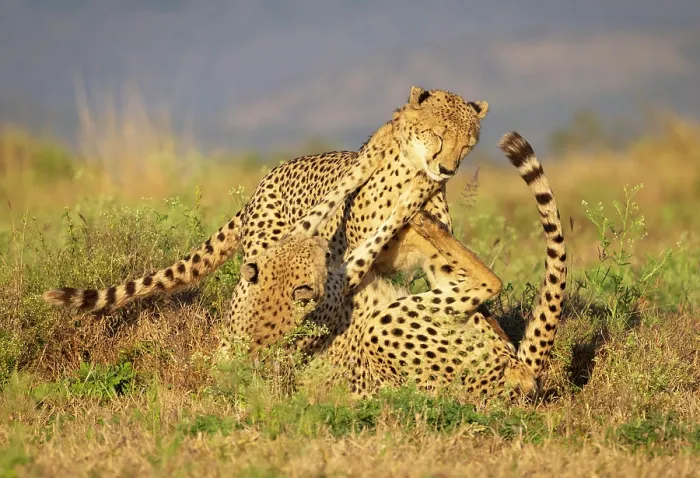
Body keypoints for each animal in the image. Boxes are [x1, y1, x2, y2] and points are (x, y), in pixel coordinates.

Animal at [43, 86, 495, 353]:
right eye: (438, 133)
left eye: (468, 144)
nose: (448, 168)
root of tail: (267, 177)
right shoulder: (355, 265)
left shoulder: (436, 262)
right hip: (270, 259)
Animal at [234, 131, 567, 401]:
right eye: (313, 256)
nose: (321, 247)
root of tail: (519, 377)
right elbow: (371, 234)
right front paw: (406, 198)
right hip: (383, 327)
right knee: (488, 281)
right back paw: (424, 216)